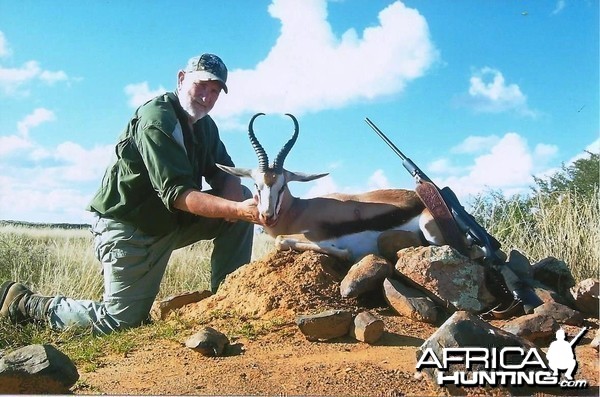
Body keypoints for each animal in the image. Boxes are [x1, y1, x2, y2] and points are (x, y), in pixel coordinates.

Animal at [217, 112, 446, 260]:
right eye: (257, 186)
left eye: (282, 186)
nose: (267, 216)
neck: (297, 211)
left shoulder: (313, 235)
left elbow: (281, 240)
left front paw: (344, 252)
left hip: (429, 230)